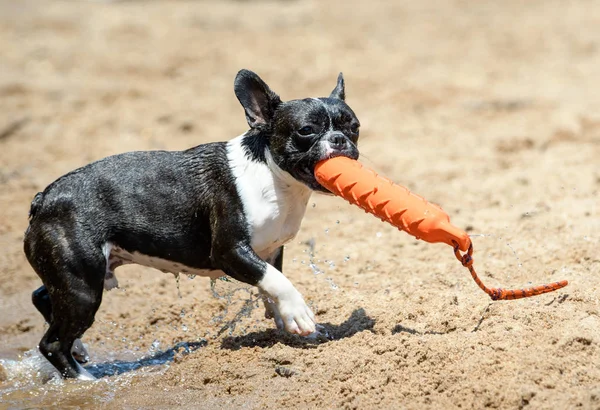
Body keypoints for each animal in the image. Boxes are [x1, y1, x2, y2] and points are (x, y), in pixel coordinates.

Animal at [23, 69, 360, 380]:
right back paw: (83, 378)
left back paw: (79, 349)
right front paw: (299, 314)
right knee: (52, 343)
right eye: (306, 131)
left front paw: (288, 321)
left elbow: (271, 281)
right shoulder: (230, 252)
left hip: (75, 277)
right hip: (83, 288)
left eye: (354, 127)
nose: (340, 139)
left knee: (43, 297)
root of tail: (44, 199)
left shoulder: (270, 251)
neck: (272, 174)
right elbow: (277, 280)